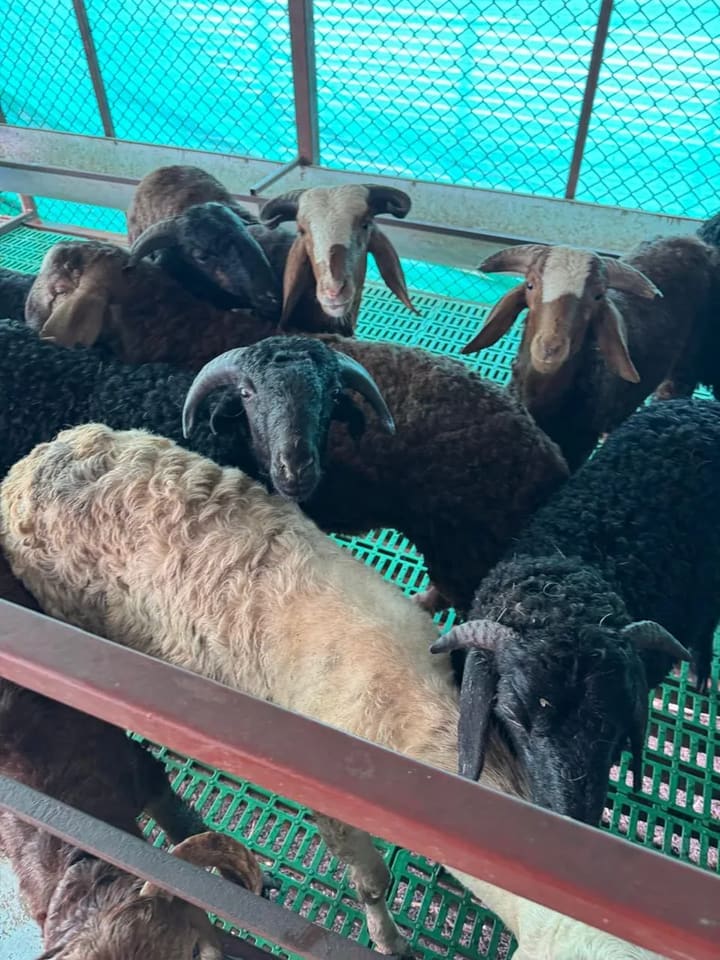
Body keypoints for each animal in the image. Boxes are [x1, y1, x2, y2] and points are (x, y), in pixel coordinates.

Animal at [0, 422, 668, 960]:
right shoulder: (335, 809)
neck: (409, 704)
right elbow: (373, 884)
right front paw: (389, 939)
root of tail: (32, 463)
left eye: (615, 729)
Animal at [461, 223, 720, 470]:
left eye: (597, 296)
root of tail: (691, 240)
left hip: (689, 359)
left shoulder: (580, 447)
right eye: (530, 286)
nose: (550, 348)